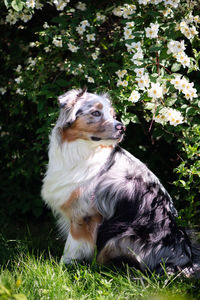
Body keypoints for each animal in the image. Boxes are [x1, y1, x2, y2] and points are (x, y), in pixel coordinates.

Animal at [41, 89, 199, 276]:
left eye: (113, 115)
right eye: (96, 113)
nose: (122, 127)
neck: (83, 148)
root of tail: (185, 260)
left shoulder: (84, 215)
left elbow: (72, 247)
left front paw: (63, 268)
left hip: (121, 236)